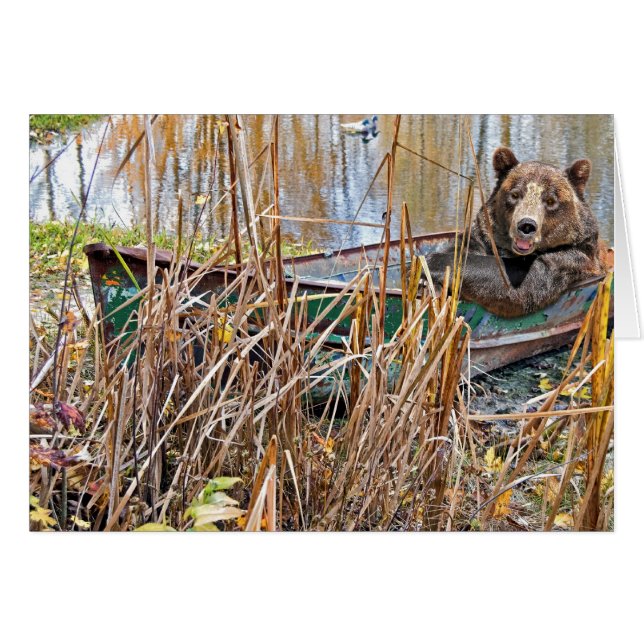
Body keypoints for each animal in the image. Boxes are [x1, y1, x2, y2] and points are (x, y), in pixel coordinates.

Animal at [427, 147, 607, 318]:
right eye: (515, 194)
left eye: (550, 200)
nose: (526, 226)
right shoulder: (484, 236)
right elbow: (462, 247)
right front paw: (429, 281)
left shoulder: (572, 257)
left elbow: (519, 285)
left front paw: (433, 261)